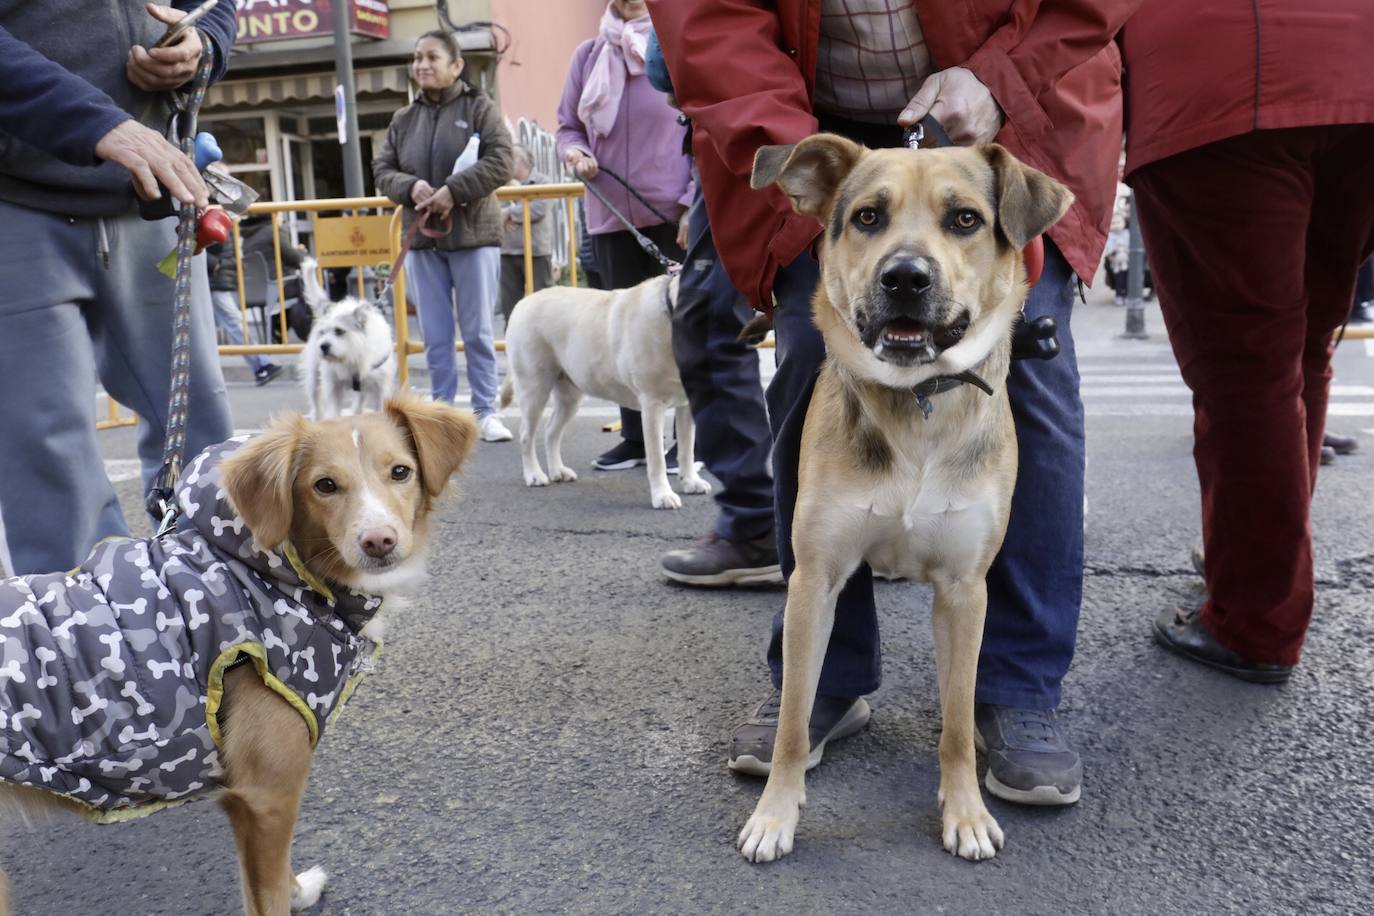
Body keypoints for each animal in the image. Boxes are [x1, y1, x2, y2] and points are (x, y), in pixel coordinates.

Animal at [0, 398, 478, 911]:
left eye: (400, 472)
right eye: (325, 485)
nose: (379, 541)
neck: (269, 578)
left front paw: (299, 890)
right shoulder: (266, 794)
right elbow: (266, 896)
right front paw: (290, 897)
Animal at [300, 256, 398, 417]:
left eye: (339, 331)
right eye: (322, 332)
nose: (323, 346)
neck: (353, 354)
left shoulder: (380, 388)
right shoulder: (333, 386)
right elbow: (333, 413)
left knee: (359, 403)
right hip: (314, 378)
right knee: (316, 403)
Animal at [505, 276, 719, 513]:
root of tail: (525, 301)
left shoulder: (686, 404)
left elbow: (686, 448)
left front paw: (690, 481)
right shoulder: (652, 404)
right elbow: (656, 459)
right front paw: (662, 495)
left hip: (570, 396)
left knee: (551, 431)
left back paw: (558, 471)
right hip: (534, 387)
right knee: (526, 434)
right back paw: (534, 474)